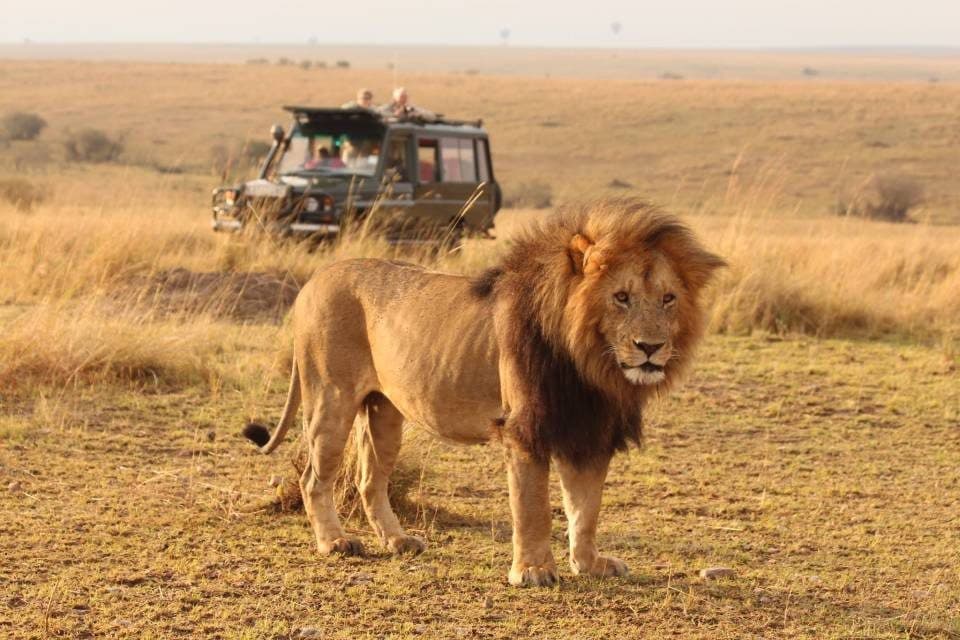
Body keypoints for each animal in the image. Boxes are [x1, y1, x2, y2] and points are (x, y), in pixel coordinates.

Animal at [243, 199, 725, 587]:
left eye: (668, 299)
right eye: (622, 297)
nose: (650, 348)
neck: (591, 366)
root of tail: (316, 278)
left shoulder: (589, 431)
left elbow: (585, 509)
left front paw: (589, 564)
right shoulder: (525, 428)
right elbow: (533, 507)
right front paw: (532, 571)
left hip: (385, 411)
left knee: (368, 479)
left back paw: (398, 540)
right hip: (331, 397)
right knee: (313, 477)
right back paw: (335, 542)